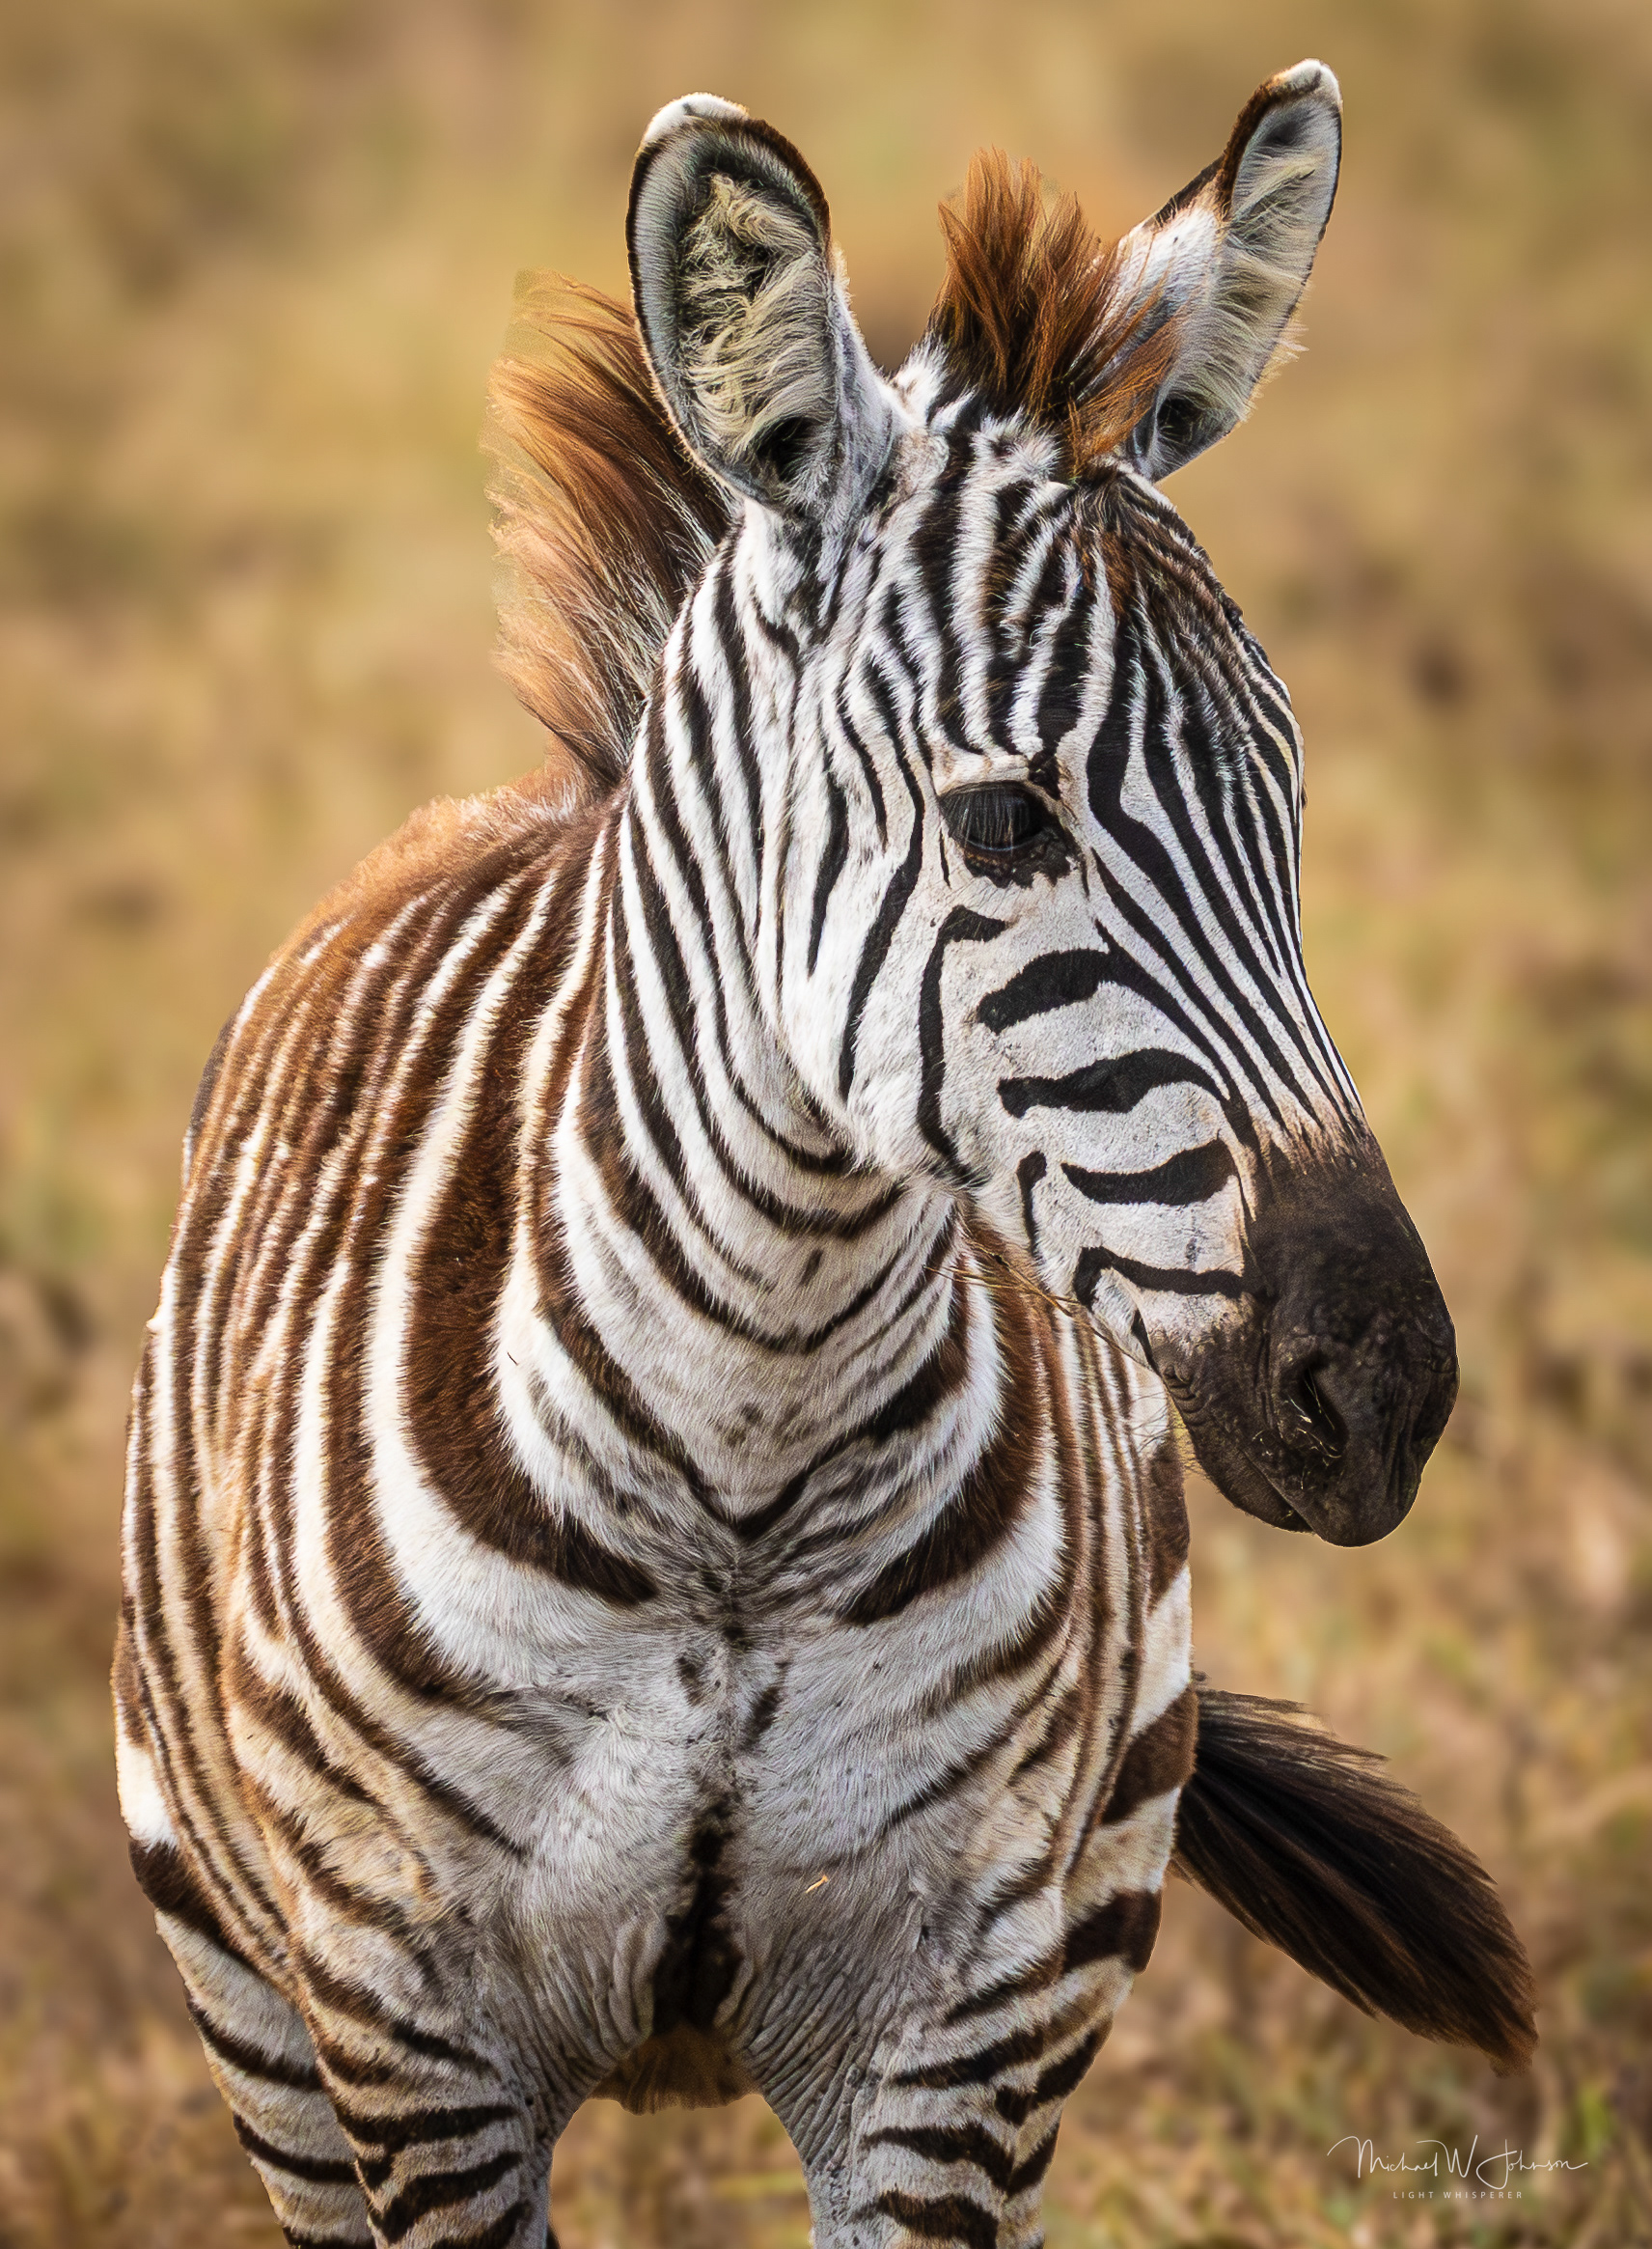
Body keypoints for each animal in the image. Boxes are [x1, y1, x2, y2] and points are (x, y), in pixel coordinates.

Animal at [115, 62, 1535, 2249]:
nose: (1379, 1386)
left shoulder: (967, 2030)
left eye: (1290, 805)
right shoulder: (414, 2039)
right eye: (1006, 826)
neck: (744, 1461)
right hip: (258, 2007)